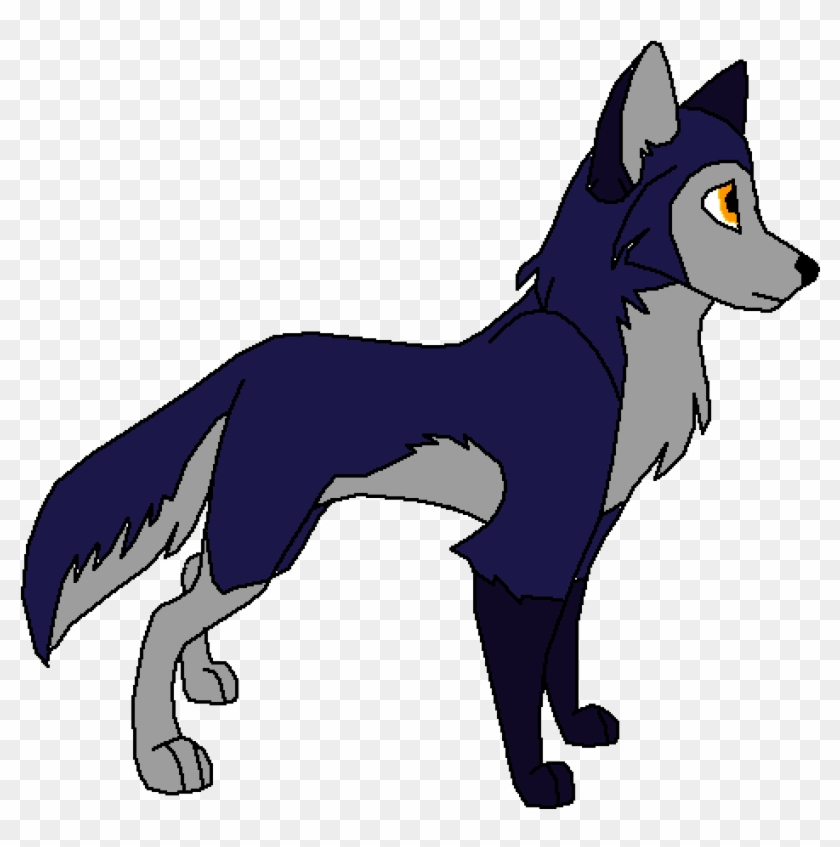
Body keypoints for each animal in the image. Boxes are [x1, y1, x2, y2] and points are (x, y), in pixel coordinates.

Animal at [22, 42, 819, 808]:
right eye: (725, 204)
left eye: (755, 202)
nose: (810, 269)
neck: (609, 349)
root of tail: (251, 362)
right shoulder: (516, 556)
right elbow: (519, 691)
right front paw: (535, 784)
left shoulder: (577, 549)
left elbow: (562, 661)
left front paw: (579, 728)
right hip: (266, 529)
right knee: (163, 614)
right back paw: (163, 754)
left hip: (276, 527)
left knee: (190, 577)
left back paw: (204, 678)